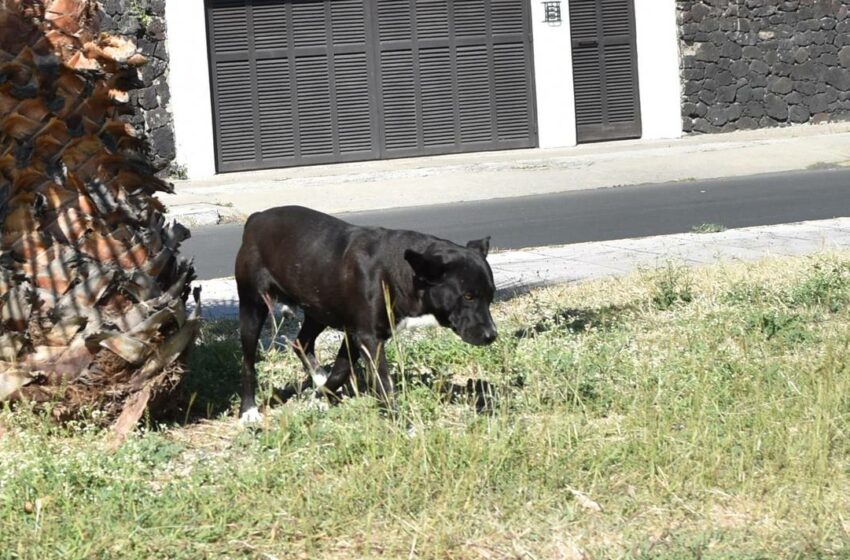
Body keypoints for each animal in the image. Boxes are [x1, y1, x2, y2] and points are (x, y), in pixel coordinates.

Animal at [232, 205, 496, 420]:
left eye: (491, 295)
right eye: (468, 296)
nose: (492, 335)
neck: (400, 270)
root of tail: (255, 219)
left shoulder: (355, 333)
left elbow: (340, 370)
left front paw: (323, 397)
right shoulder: (369, 338)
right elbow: (384, 383)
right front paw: (402, 425)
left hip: (318, 308)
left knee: (301, 343)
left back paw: (318, 379)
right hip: (253, 306)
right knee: (248, 362)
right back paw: (249, 411)